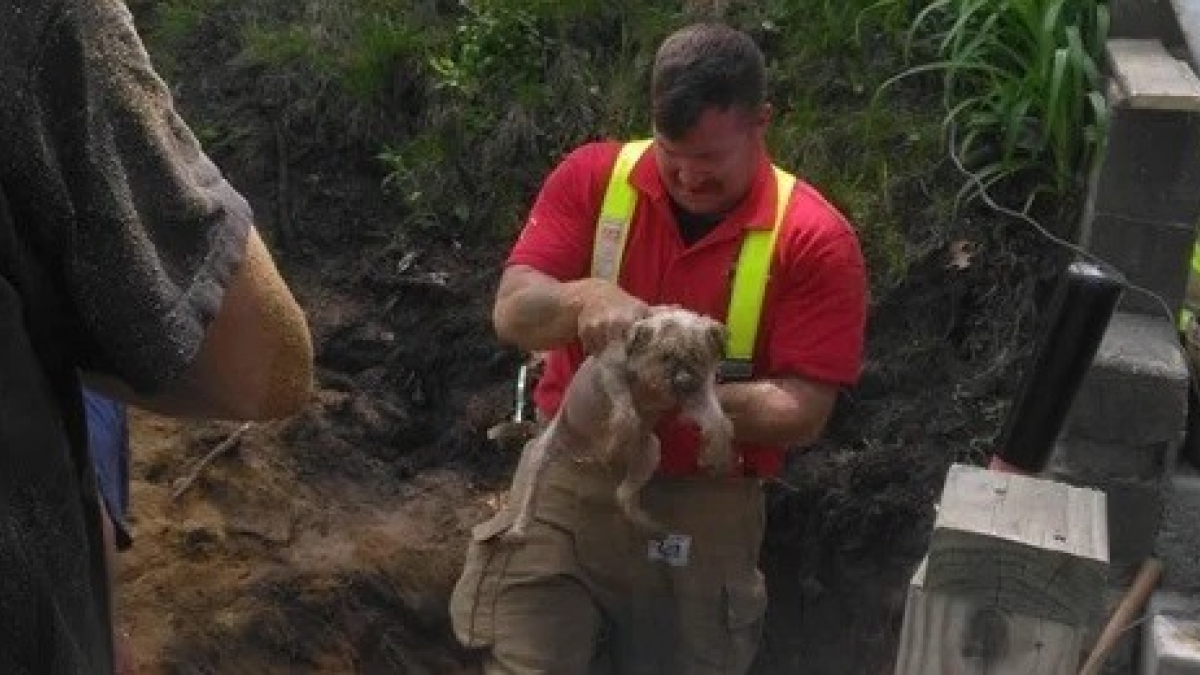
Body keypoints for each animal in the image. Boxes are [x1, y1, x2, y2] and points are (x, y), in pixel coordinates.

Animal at [506, 306, 729, 535]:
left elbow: (719, 421)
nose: (683, 381)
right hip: (544, 451)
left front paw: (714, 453)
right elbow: (627, 413)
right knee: (532, 493)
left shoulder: (696, 395)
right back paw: (519, 528)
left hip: (650, 452)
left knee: (623, 494)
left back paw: (641, 521)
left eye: (697, 356)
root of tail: (584, 447)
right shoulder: (611, 373)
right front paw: (617, 438)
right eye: (665, 356)